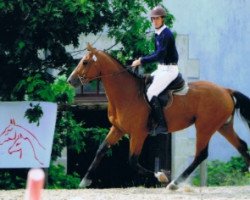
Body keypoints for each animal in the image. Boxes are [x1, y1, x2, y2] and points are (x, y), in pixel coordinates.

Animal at [67, 43, 250, 191]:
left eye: (85, 62)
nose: (70, 80)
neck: (127, 94)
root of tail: (226, 90)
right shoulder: (118, 128)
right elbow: (101, 150)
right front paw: (85, 181)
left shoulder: (139, 133)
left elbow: (133, 161)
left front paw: (161, 176)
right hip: (222, 126)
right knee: (241, 146)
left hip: (205, 127)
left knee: (201, 155)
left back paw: (173, 183)